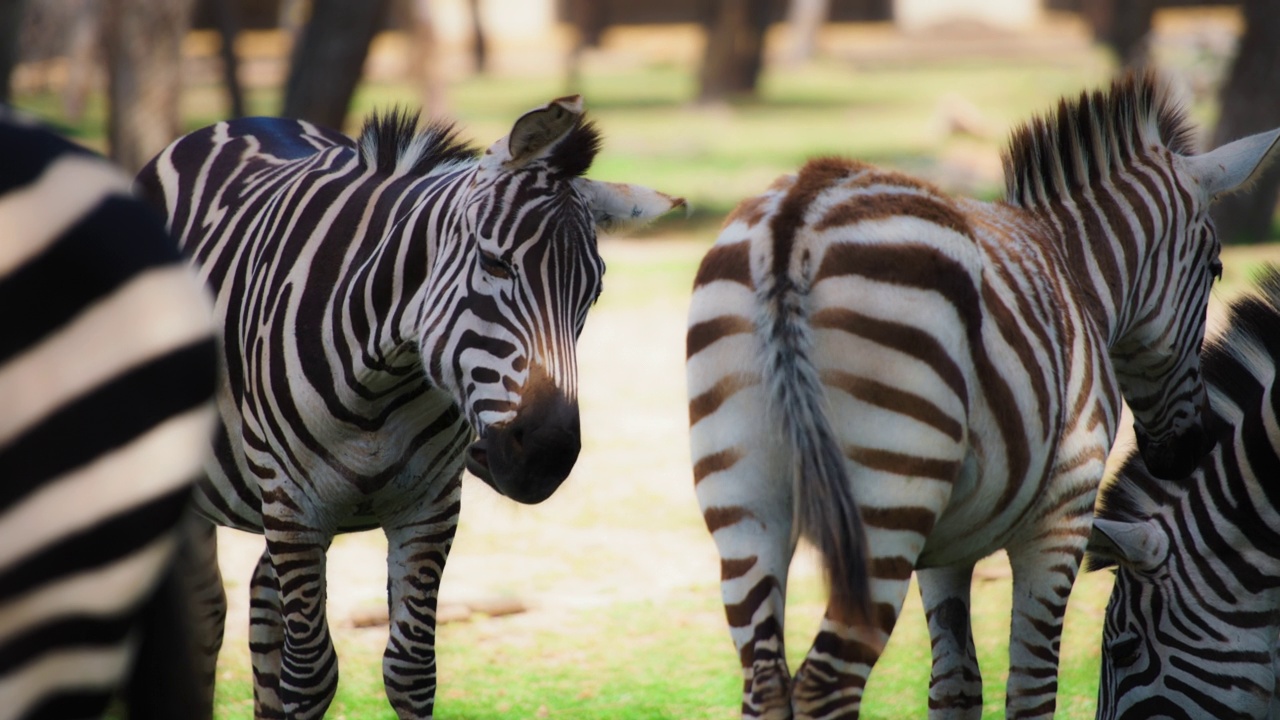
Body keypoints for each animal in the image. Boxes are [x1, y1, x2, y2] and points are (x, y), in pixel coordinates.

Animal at [135, 95, 686, 717]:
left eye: (592, 294)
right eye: (495, 265)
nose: (545, 456)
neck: (381, 381)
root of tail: (245, 121)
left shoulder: (430, 508)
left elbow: (411, 670)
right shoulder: (294, 506)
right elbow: (311, 673)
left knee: (263, 604)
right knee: (208, 614)